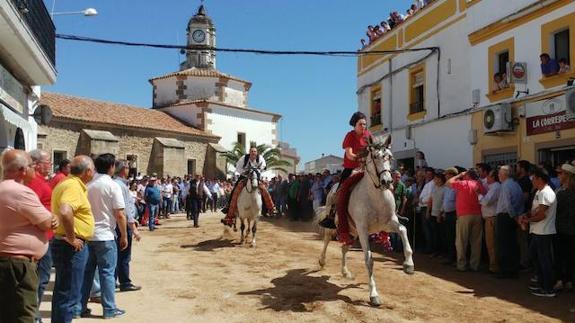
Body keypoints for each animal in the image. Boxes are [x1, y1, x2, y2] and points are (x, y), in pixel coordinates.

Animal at [320, 135, 414, 308]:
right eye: (375, 156)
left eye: (389, 156)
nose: (387, 181)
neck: (376, 196)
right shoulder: (363, 229)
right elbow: (369, 260)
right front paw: (374, 295)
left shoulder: (388, 223)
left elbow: (403, 230)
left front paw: (408, 265)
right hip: (338, 227)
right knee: (327, 239)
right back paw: (322, 261)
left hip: (351, 231)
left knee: (344, 248)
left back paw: (345, 272)